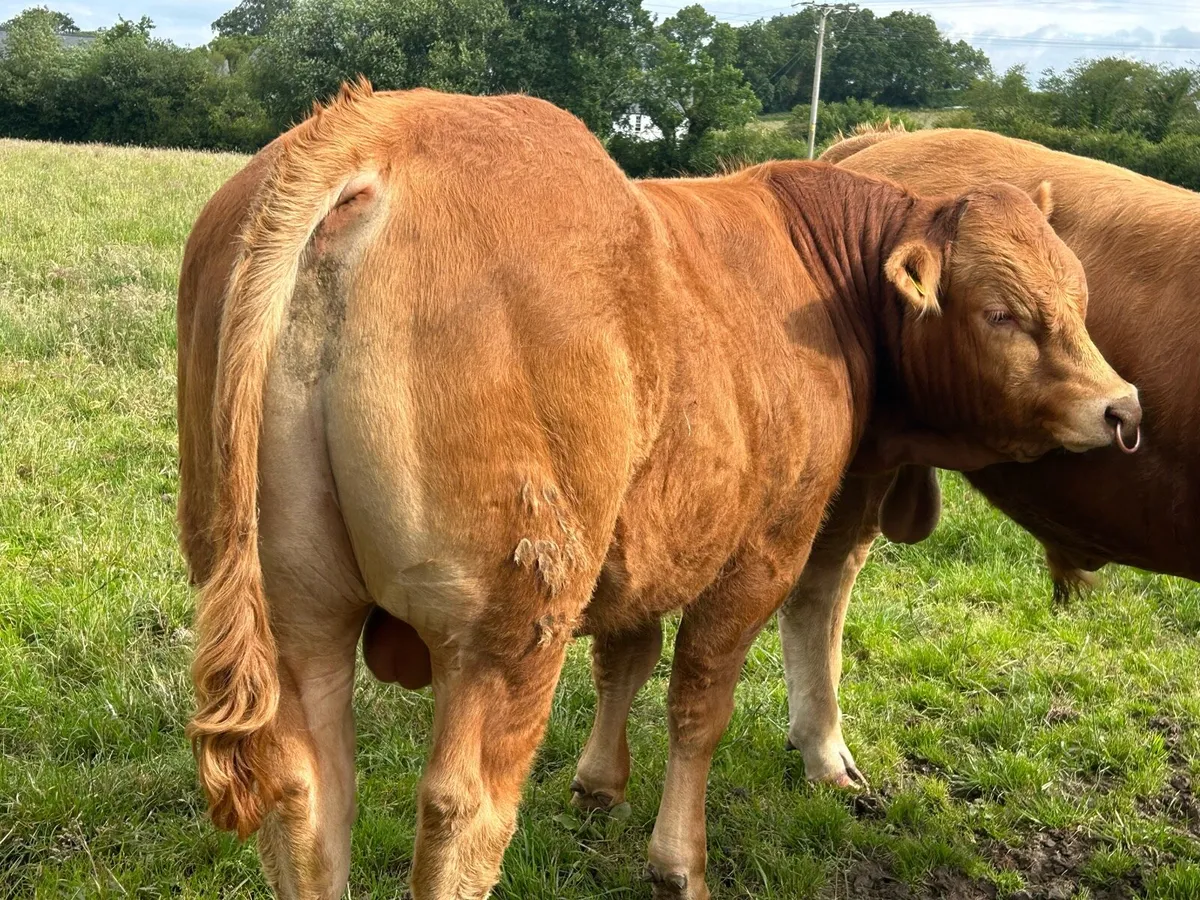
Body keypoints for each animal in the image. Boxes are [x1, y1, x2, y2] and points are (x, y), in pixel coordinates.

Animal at [177, 86, 1139, 900]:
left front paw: (599, 785)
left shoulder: (644, 538)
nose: (1122, 406)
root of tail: (377, 125)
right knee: (463, 805)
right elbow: (699, 702)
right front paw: (679, 863)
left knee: (308, 795)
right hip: (509, 619)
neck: (818, 279)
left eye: (1081, 296)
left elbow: (627, 657)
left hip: (294, 608)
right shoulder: (765, 545)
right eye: (1000, 312)